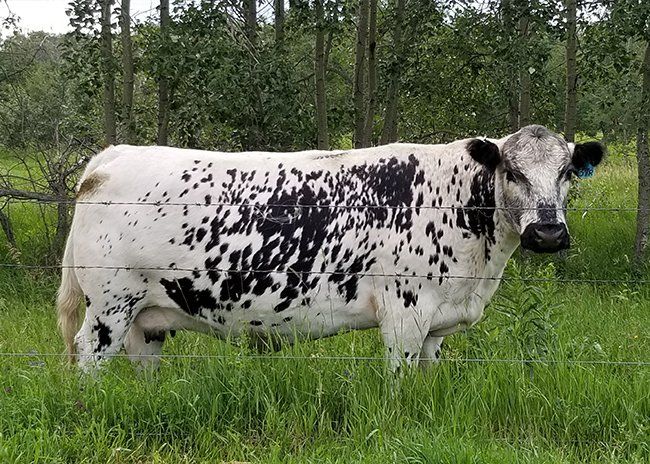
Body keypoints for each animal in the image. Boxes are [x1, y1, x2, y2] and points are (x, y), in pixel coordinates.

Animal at [56, 125, 604, 372]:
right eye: (512, 171)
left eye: (566, 172)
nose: (548, 233)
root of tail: (113, 155)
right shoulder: (404, 313)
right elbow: (400, 381)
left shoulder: (436, 325)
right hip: (110, 305)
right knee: (87, 356)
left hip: (147, 316)